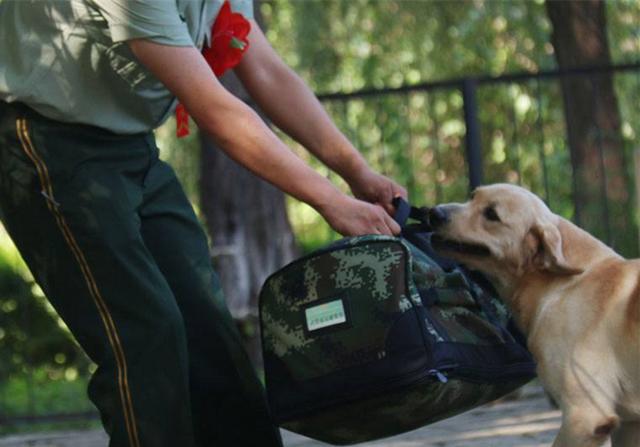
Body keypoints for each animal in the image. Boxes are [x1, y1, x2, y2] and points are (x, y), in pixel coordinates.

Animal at [428, 183, 636, 447]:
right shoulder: (628, 426)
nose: (434, 213)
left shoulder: (585, 416)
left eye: (492, 214)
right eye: (472, 197)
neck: (562, 282)